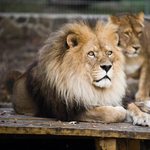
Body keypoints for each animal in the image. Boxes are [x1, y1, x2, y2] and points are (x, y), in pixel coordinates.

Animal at [5, 18, 150, 125]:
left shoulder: (117, 96)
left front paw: (144, 116)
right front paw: (119, 110)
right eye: (91, 54)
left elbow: (131, 105)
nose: (107, 67)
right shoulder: (70, 111)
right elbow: (110, 113)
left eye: (109, 53)